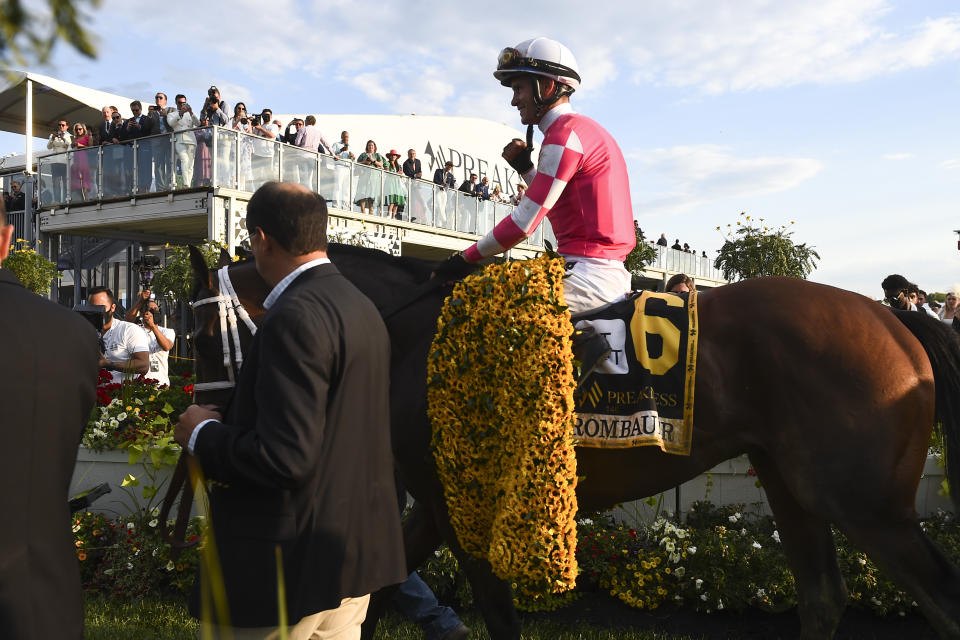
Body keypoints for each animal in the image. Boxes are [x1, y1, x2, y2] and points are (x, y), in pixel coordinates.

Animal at [186, 242, 960, 636]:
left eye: (195, 329)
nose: (203, 414)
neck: (411, 336)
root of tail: (893, 319)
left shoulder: (462, 501)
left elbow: (496, 612)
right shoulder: (434, 499)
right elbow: (378, 592)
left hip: (863, 500)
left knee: (938, 596)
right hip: (790, 480)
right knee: (825, 596)